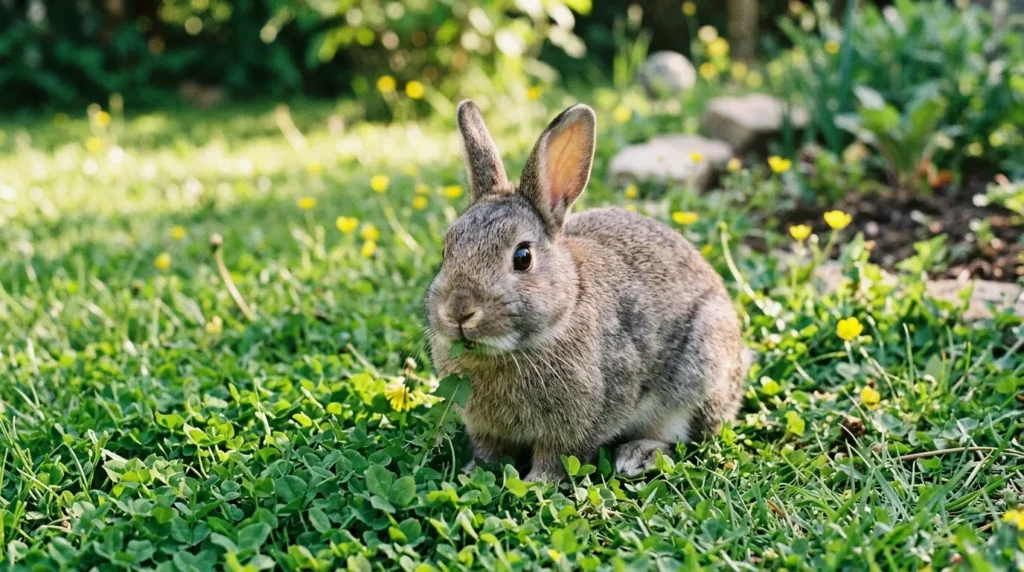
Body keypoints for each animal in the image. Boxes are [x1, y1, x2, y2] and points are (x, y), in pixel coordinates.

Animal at [425, 100, 747, 482]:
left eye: (523, 257)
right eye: (446, 249)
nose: (458, 311)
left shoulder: (581, 421)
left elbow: (557, 455)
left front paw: (538, 483)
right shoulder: (486, 428)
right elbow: (490, 450)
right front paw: (474, 472)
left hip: (698, 373)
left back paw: (638, 455)